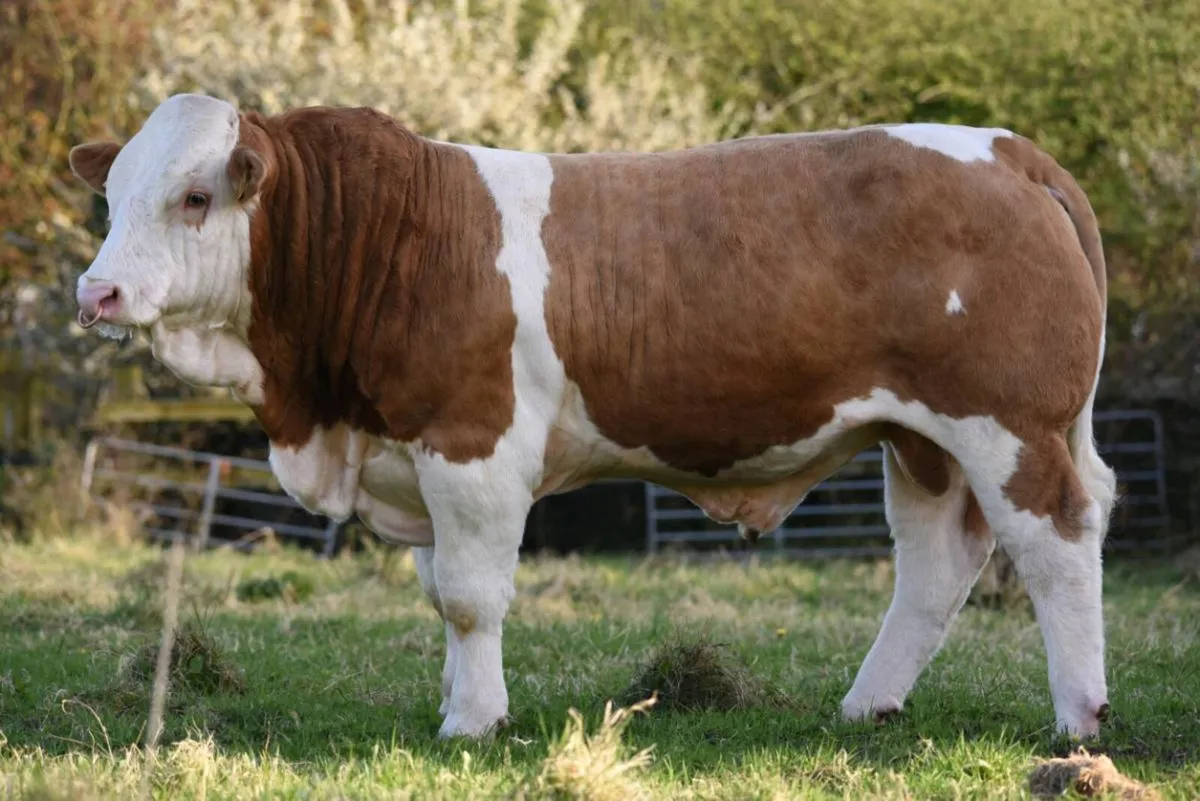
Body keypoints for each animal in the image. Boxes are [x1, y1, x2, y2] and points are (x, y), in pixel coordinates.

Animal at [68, 93, 1118, 741]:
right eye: (111, 197)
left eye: (194, 196)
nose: (97, 292)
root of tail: (1003, 147)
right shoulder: (414, 453)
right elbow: (439, 592)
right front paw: (455, 699)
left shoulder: (472, 444)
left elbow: (470, 595)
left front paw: (474, 721)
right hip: (921, 439)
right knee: (939, 562)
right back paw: (869, 706)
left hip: (1009, 424)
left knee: (1057, 539)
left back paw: (1078, 718)